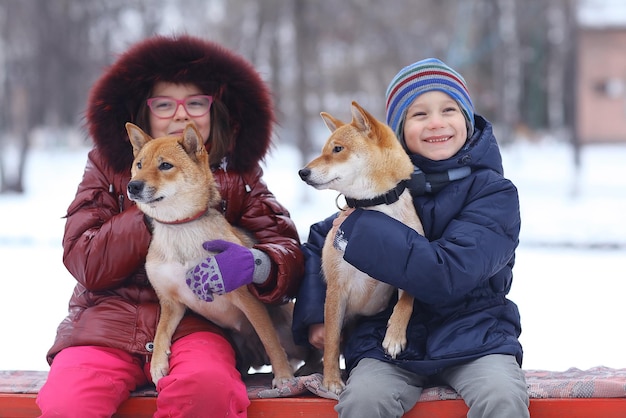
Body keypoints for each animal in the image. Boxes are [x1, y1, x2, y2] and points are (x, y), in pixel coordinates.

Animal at [126, 122, 294, 386]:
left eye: (165, 166)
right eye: (139, 165)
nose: (133, 186)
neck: (180, 228)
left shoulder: (248, 299)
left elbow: (270, 340)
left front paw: (284, 377)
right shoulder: (171, 303)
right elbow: (160, 333)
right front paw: (157, 364)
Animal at [298, 101, 424, 396]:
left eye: (337, 149)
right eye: (324, 149)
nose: (302, 172)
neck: (376, 209)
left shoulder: (409, 268)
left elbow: (407, 301)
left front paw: (394, 336)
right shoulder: (336, 289)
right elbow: (331, 341)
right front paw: (331, 381)